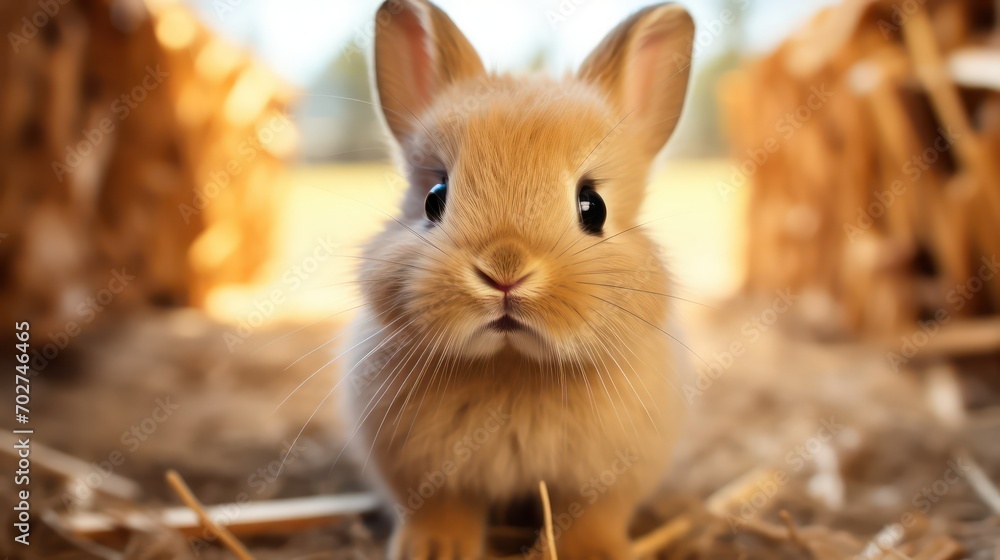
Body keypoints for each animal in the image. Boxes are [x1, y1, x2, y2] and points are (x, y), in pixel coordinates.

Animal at [340, 1, 695, 558]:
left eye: (593, 206)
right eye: (435, 199)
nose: (504, 271)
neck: (512, 365)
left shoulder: (606, 481)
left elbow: (592, 518)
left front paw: (594, 554)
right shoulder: (423, 472)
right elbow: (441, 509)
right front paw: (436, 549)